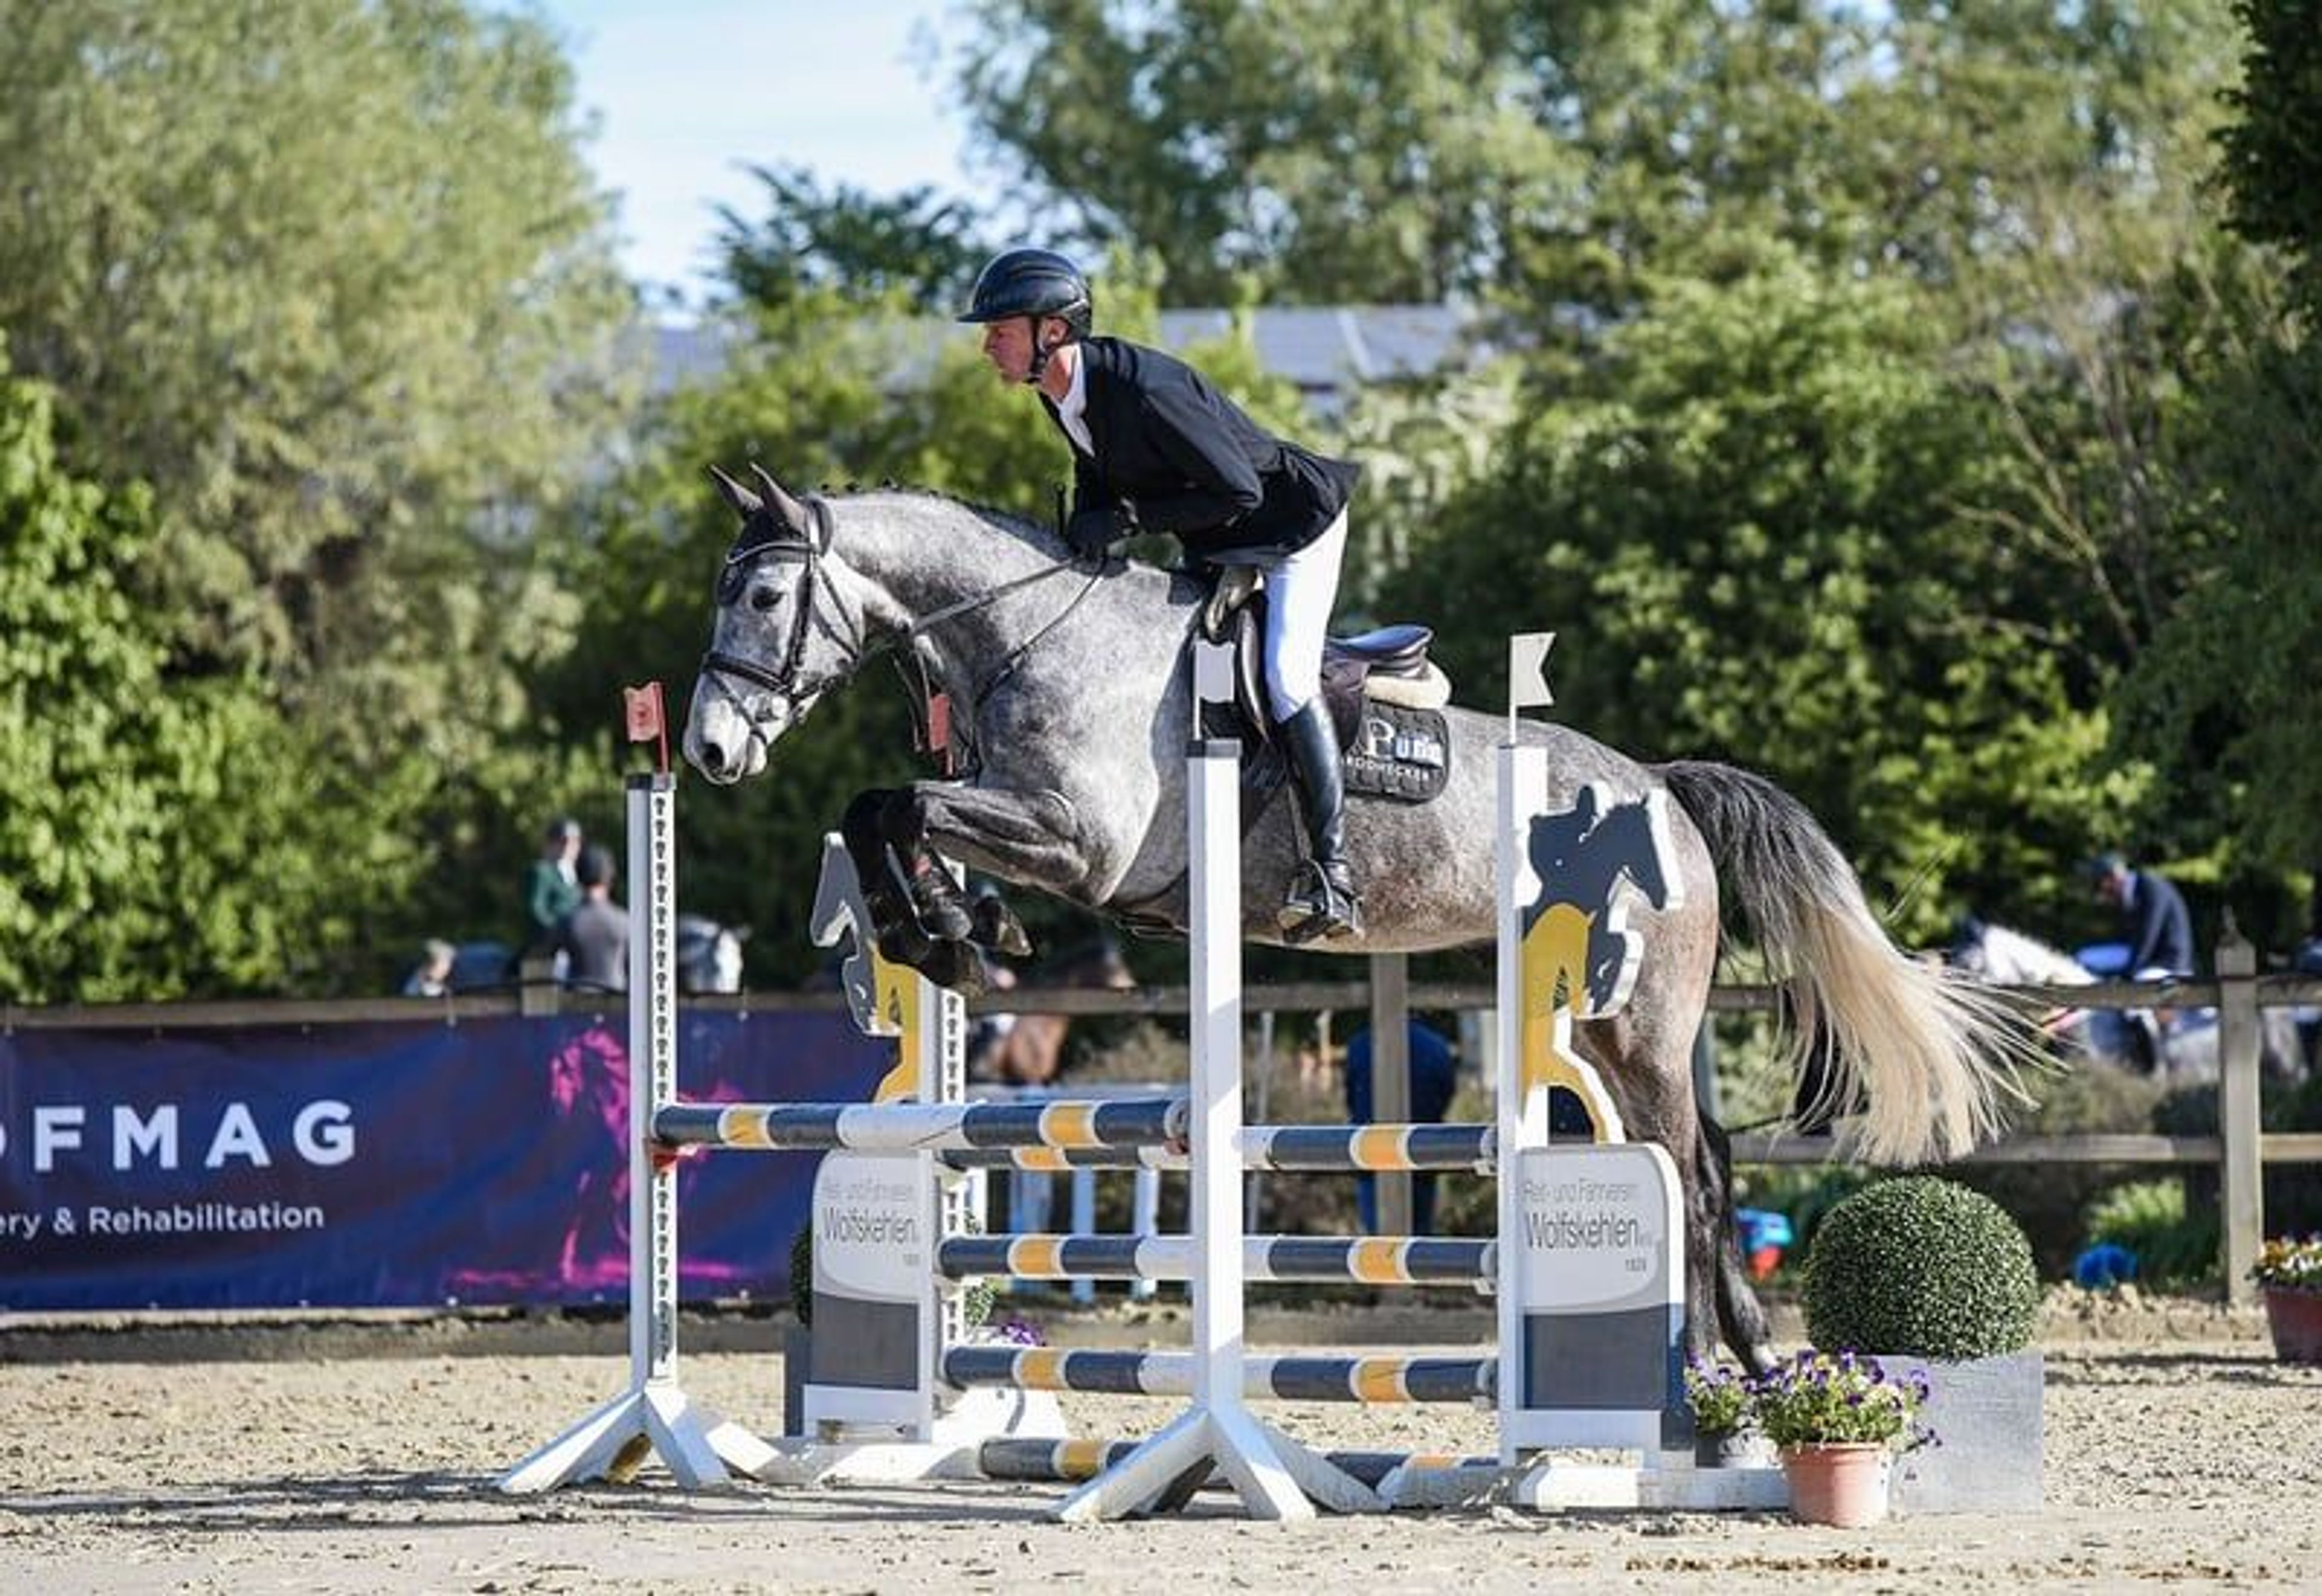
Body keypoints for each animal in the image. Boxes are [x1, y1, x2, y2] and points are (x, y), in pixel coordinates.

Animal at [682, 465, 2037, 1371]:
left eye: (765, 597)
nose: (703, 750)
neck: (1033, 638)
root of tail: (1664, 789)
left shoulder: (1081, 844)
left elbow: (898, 803)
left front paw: (950, 932)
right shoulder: (1031, 827)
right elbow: (885, 811)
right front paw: (948, 930)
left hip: (1644, 1018)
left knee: (1694, 1171)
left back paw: (1722, 1364)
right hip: (1602, 1026)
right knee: (1690, 1157)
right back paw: (1728, 1359)